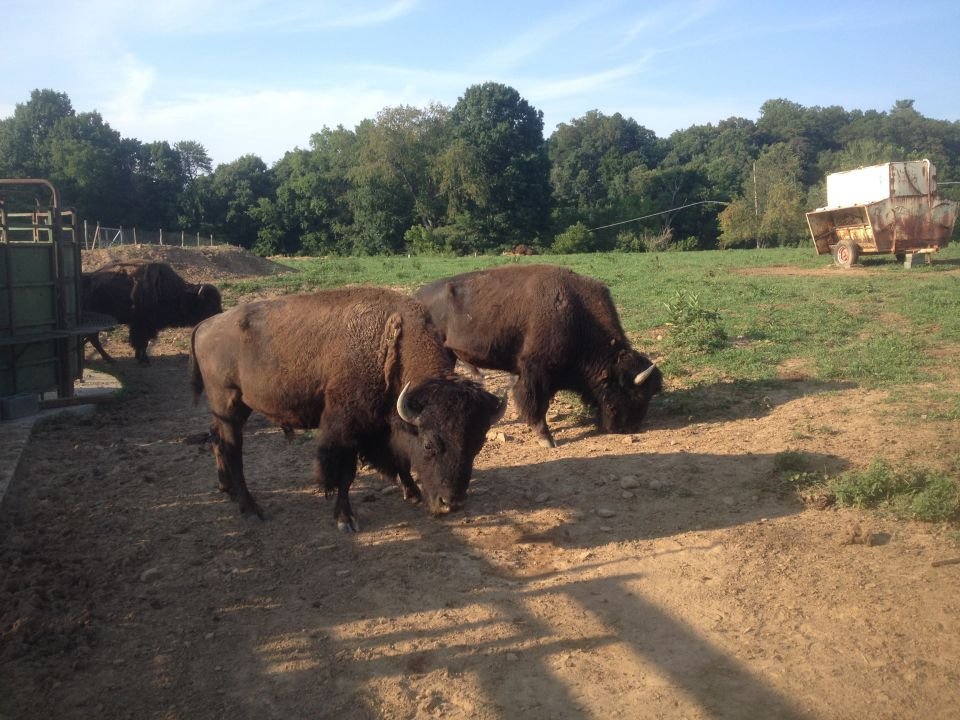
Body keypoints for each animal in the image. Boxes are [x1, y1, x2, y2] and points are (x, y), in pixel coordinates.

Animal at [82, 261, 222, 365]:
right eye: (210, 305)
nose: (219, 318)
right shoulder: (142, 325)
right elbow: (141, 342)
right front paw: (144, 360)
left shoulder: (146, 326)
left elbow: (143, 342)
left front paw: (139, 357)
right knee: (94, 339)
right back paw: (110, 359)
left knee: (91, 338)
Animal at [189, 286, 506, 532]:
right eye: (429, 444)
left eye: (477, 444)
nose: (451, 503)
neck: (391, 341)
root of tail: (205, 325)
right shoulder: (345, 425)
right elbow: (345, 472)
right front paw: (346, 518)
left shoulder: (383, 424)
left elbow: (397, 458)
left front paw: (412, 492)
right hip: (228, 403)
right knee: (232, 449)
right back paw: (251, 509)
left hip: (234, 408)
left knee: (217, 439)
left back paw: (228, 490)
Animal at [415, 264, 662, 447]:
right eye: (634, 393)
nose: (627, 429)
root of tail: (417, 297)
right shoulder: (535, 372)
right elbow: (536, 403)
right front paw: (547, 439)